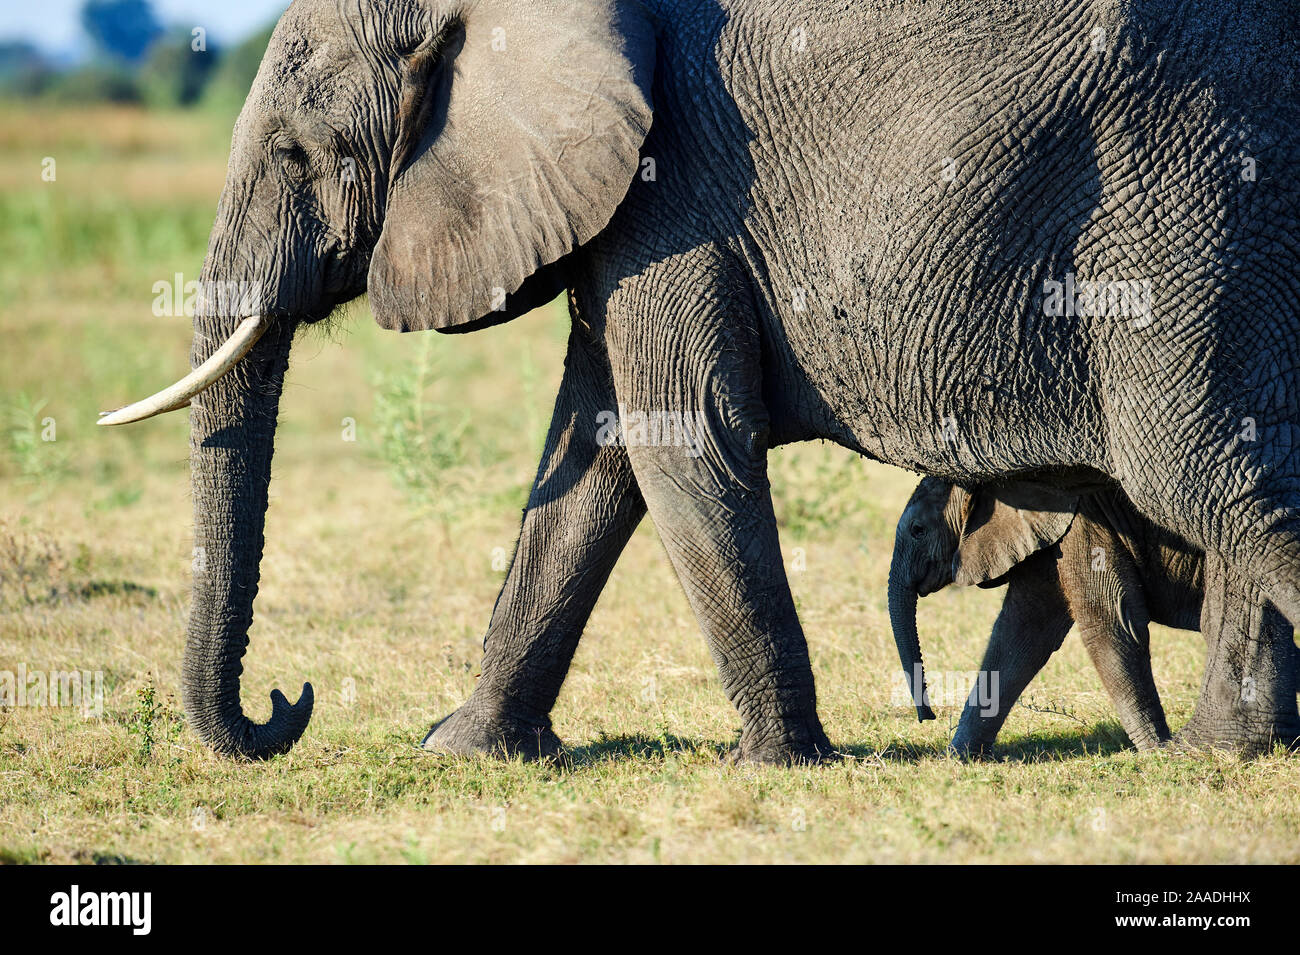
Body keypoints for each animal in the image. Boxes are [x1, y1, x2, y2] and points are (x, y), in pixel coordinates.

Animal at [889, 480, 1201, 758]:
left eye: (918, 530)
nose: (928, 717)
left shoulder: (1086, 525)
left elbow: (1108, 624)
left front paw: (1158, 750)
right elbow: (1022, 632)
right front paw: (958, 757)